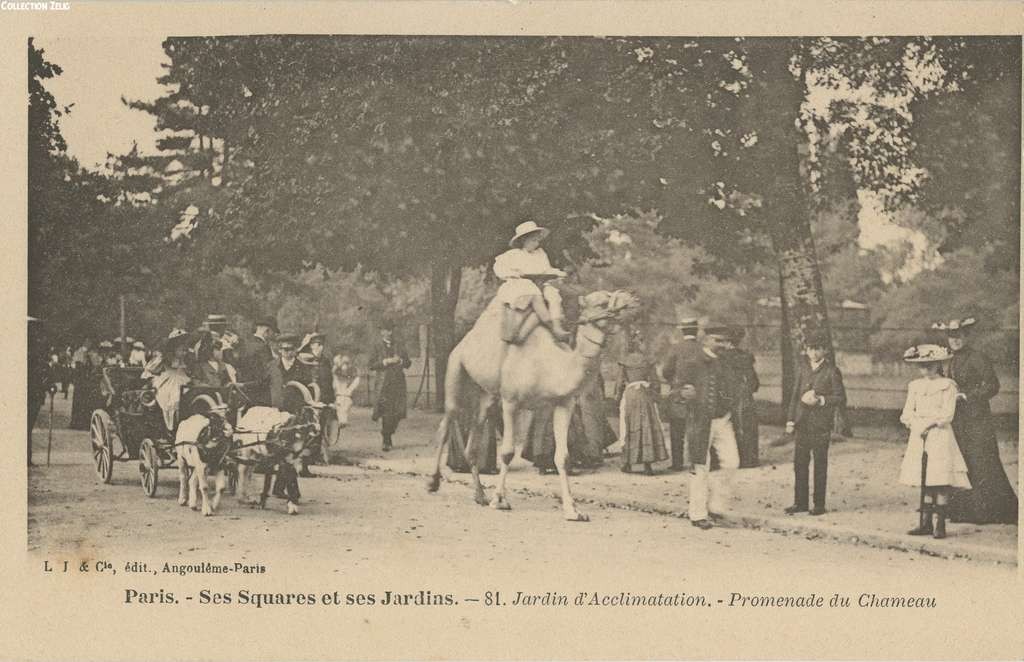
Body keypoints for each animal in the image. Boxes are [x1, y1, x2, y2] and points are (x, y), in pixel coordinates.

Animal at [425, 291, 634, 524]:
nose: (631, 298)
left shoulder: (564, 404)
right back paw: (433, 482)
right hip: (456, 369)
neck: (550, 366)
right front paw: (500, 500)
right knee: (447, 422)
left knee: (475, 434)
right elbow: (507, 452)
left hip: (486, 395)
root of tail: (464, 341)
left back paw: (479, 495)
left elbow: (563, 457)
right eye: (602, 302)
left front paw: (573, 511)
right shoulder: (511, 402)